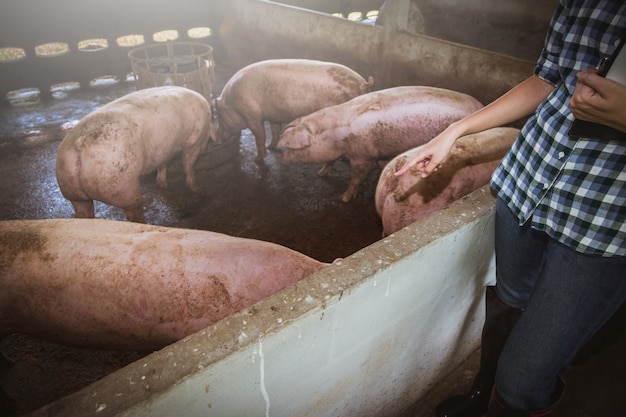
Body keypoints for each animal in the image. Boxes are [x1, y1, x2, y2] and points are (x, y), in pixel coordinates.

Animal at [56, 85, 212, 223]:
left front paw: (163, 185)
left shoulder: (163, 149)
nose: (206, 149)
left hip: (71, 188)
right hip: (121, 183)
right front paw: (197, 188)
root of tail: (80, 143)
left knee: (83, 211)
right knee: (134, 211)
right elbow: (188, 165)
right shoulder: (193, 142)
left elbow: (163, 165)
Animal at [212, 59, 372, 160]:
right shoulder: (273, 115)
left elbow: (260, 137)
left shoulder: (252, 117)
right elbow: (275, 131)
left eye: (219, 117)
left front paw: (257, 159)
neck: (231, 104)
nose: (214, 139)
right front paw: (271, 147)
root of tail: (363, 83)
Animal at [276, 85, 482, 202]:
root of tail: (479, 105)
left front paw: (344, 198)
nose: (280, 158)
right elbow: (330, 161)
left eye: (292, 147)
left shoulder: (362, 155)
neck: (335, 136)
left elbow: (357, 176)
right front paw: (321, 173)